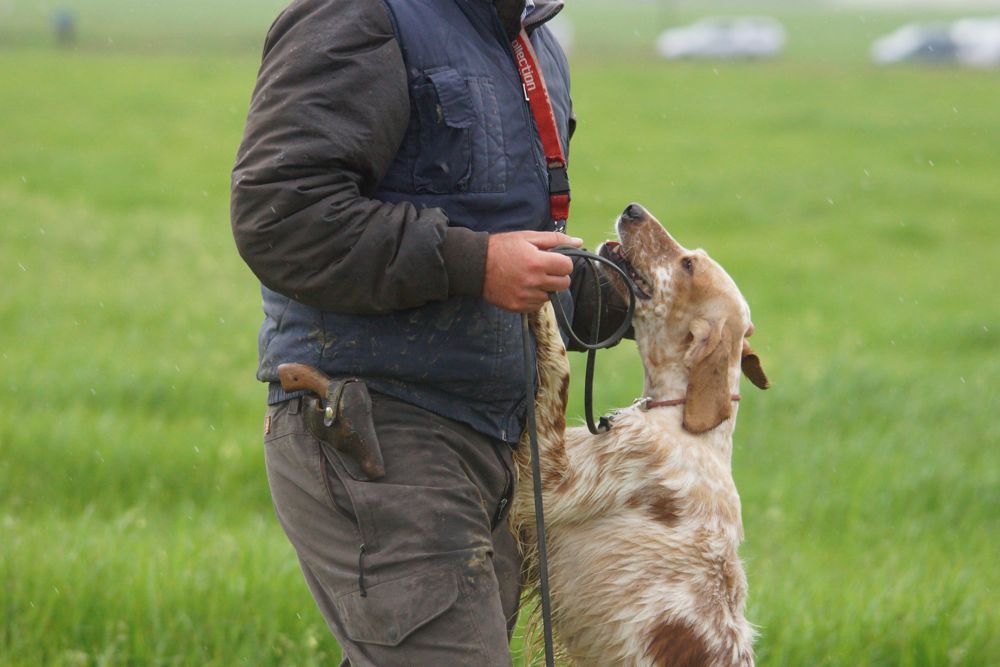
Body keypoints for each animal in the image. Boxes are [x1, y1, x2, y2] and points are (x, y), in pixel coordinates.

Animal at [511, 203, 770, 666]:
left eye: (688, 264)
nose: (633, 210)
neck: (681, 418)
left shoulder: (551, 481)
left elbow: (559, 366)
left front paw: (542, 300)